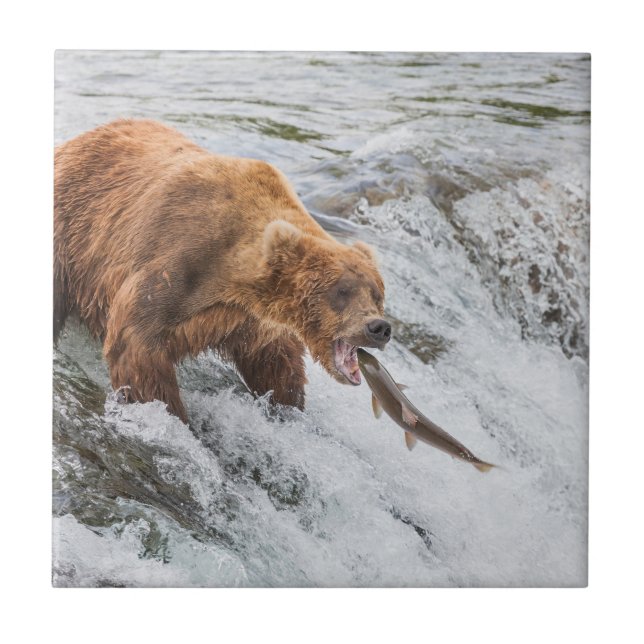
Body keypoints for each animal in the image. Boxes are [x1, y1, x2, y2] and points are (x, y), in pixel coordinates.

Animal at [54, 119, 391, 423]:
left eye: (377, 294)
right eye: (342, 291)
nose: (379, 327)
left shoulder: (248, 318)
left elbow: (275, 361)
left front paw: (287, 405)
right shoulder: (176, 263)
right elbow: (136, 346)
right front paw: (173, 414)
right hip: (70, 237)